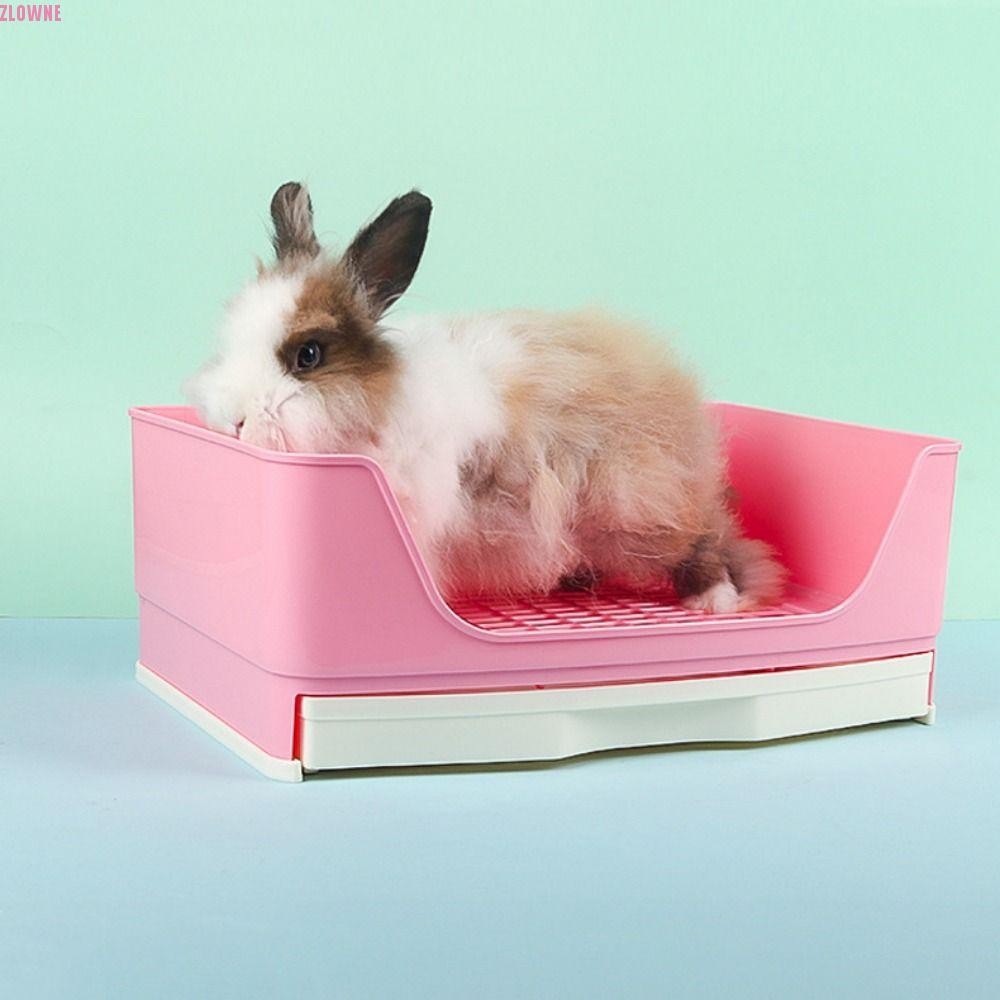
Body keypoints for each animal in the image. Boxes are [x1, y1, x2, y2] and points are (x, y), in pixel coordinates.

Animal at [185, 182, 785, 612]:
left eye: (308, 355)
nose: (232, 420)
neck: (378, 407)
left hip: (637, 502)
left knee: (700, 539)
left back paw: (716, 600)